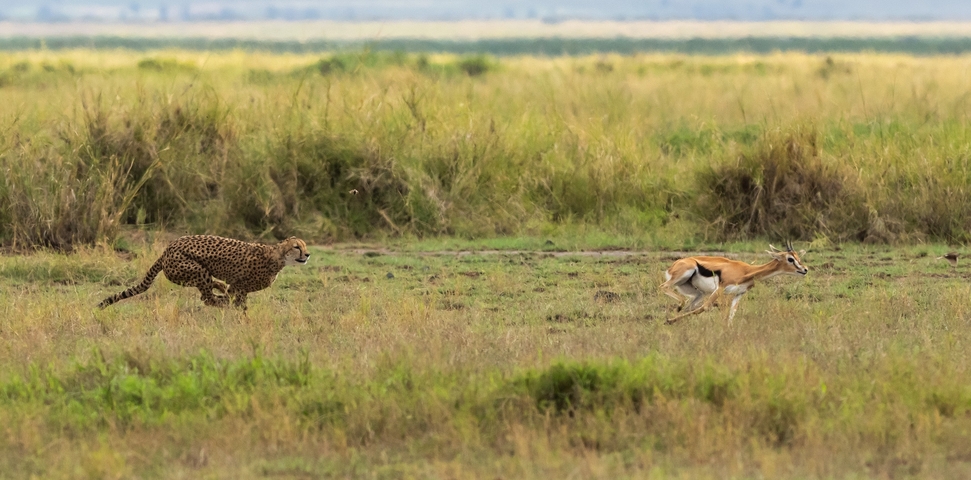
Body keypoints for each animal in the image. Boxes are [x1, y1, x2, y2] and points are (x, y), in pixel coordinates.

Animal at [97, 235, 310, 310]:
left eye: (305, 245)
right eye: (296, 247)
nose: (307, 254)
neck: (278, 257)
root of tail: (167, 249)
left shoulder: (238, 287)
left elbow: (237, 298)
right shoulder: (240, 286)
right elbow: (238, 301)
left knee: (210, 292)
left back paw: (220, 288)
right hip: (195, 270)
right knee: (207, 297)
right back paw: (220, 298)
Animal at [660, 242, 808, 325]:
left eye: (798, 257)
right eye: (790, 259)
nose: (805, 269)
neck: (747, 271)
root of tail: (673, 265)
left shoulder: (739, 294)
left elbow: (732, 314)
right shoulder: (720, 289)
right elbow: (705, 307)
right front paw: (668, 321)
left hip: (699, 293)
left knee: (688, 307)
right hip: (684, 276)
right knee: (664, 287)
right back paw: (673, 314)